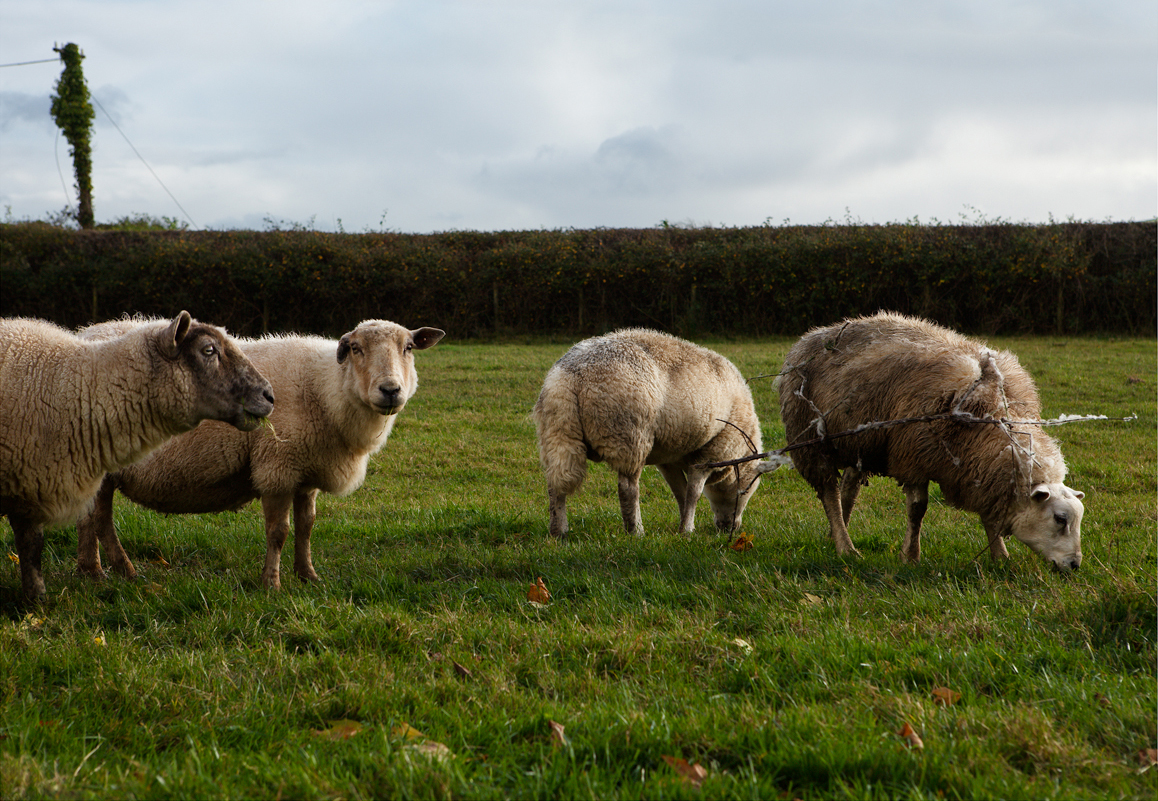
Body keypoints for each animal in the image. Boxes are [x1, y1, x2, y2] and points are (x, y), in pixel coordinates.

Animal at [0, 312, 275, 601]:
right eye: (209, 350)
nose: (269, 395)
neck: (77, 386)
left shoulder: (28, 482)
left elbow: (31, 546)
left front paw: (36, 600)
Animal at [73, 317, 442, 588]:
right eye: (355, 348)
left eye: (409, 347)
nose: (390, 390)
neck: (324, 390)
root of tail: (83, 333)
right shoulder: (277, 467)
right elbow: (278, 532)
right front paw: (271, 584)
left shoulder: (305, 472)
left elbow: (307, 527)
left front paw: (307, 575)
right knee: (97, 519)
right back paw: (113, 571)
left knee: (91, 518)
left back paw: (92, 570)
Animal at [530, 328, 759, 541]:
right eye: (746, 490)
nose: (730, 528)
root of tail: (570, 375)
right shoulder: (710, 453)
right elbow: (693, 493)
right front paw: (688, 529)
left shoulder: (668, 459)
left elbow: (681, 493)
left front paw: (682, 525)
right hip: (628, 435)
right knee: (627, 488)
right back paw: (636, 531)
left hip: (556, 432)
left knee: (555, 485)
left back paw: (559, 531)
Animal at [778, 310, 1083, 569]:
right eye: (1060, 519)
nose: (1074, 565)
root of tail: (816, 334)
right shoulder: (914, 458)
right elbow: (917, 510)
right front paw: (911, 556)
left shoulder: (981, 471)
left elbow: (989, 516)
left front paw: (1000, 556)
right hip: (812, 441)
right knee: (829, 493)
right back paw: (845, 547)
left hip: (861, 442)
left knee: (848, 488)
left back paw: (836, 533)